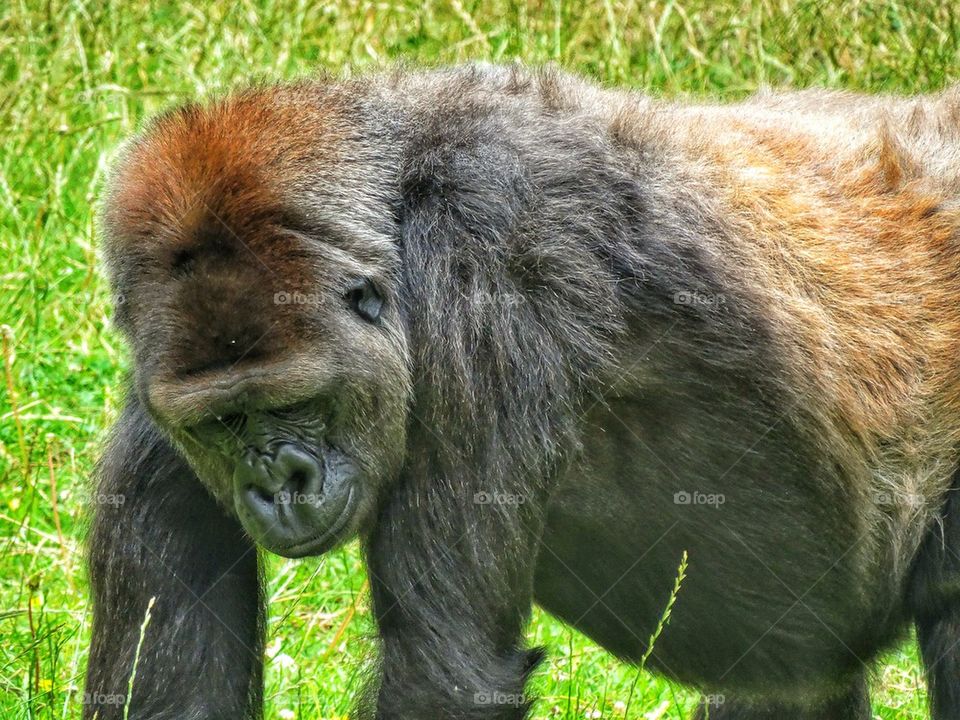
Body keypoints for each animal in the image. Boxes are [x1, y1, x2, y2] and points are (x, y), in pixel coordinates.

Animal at [84, 64, 960, 716]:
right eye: (226, 423)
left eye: (294, 402)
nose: (279, 484)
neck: (399, 204)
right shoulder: (155, 378)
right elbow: (170, 689)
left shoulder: (485, 272)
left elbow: (445, 672)